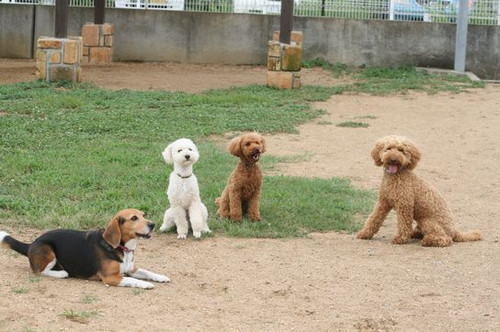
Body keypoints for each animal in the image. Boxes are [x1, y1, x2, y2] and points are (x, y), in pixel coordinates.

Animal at [0, 208, 170, 288]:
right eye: (134, 218)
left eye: (143, 215)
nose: (153, 224)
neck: (122, 247)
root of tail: (31, 244)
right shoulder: (111, 277)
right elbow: (132, 280)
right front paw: (146, 284)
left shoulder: (131, 269)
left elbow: (147, 272)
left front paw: (161, 277)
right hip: (48, 250)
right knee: (39, 271)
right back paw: (61, 273)